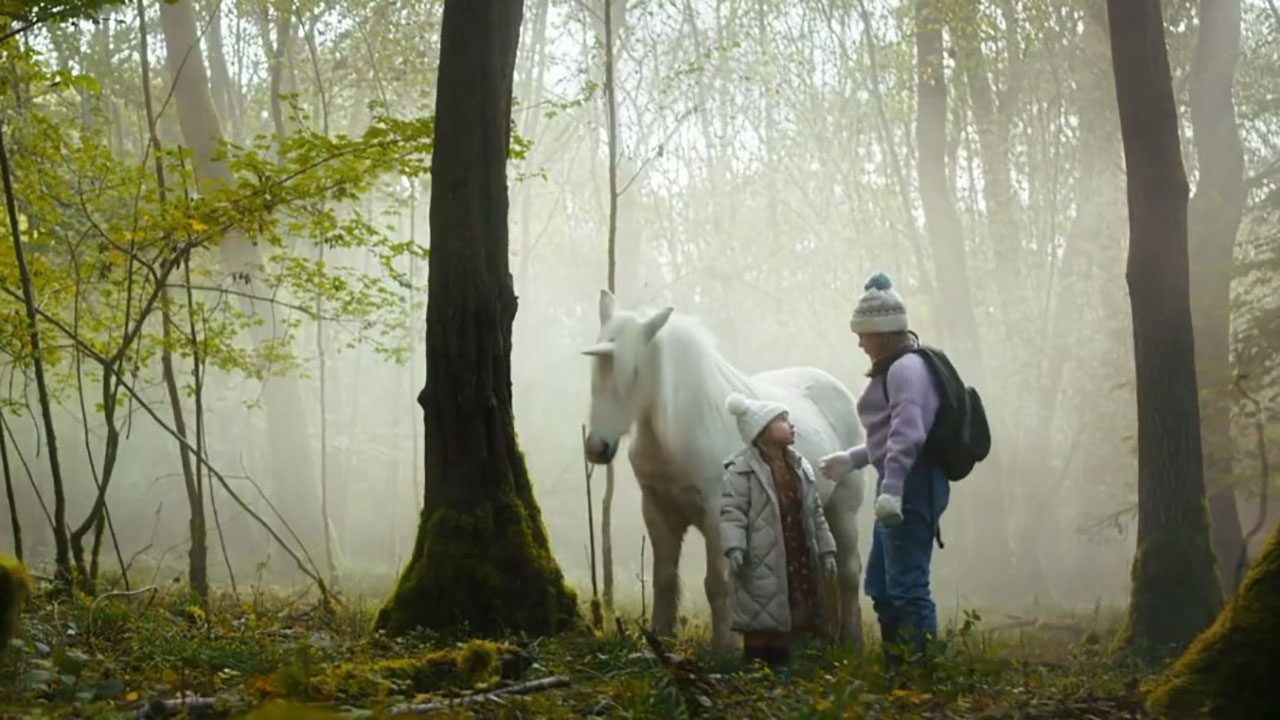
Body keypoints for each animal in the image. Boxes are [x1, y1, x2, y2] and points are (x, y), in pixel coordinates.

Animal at [583, 288, 870, 648]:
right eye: (595, 371)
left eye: (634, 372)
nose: (597, 448)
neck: (682, 427)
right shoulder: (657, 509)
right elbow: (664, 578)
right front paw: (660, 637)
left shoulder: (716, 513)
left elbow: (717, 583)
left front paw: (723, 647)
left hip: (843, 508)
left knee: (848, 570)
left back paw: (853, 640)